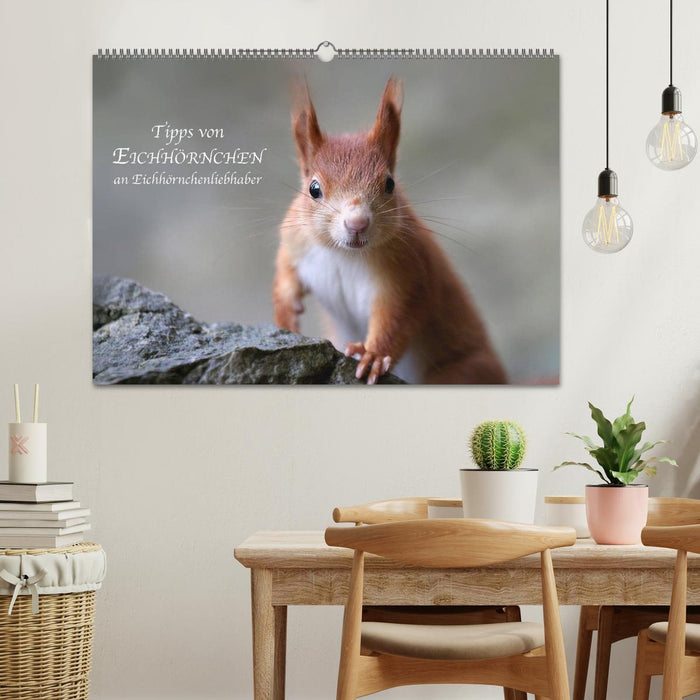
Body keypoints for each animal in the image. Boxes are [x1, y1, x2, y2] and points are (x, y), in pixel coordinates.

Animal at [273, 77, 507, 385]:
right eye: (313, 189)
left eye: (389, 183)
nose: (357, 223)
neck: (343, 254)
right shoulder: (295, 241)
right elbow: (285, 275)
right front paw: (285, 314)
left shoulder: (408, 271)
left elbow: (397, 318)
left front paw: (372, 355)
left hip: (463, 372)